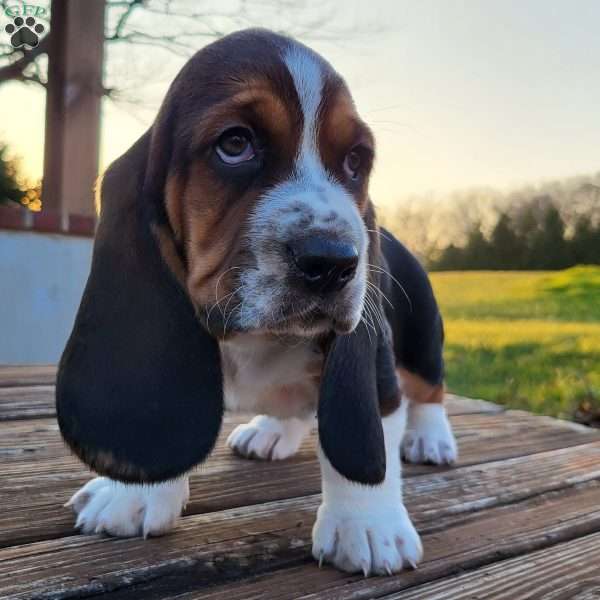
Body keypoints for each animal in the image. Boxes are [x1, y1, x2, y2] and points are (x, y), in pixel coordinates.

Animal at [58, 28, 458, 576]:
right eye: (235, 144)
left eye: (356, 161)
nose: (333, 261)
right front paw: (132, 492)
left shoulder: (373, 366)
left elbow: (370, 433)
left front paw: (367, 523)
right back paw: (273, 430)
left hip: (420, 336)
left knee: (429, 388)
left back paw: (431, 437)